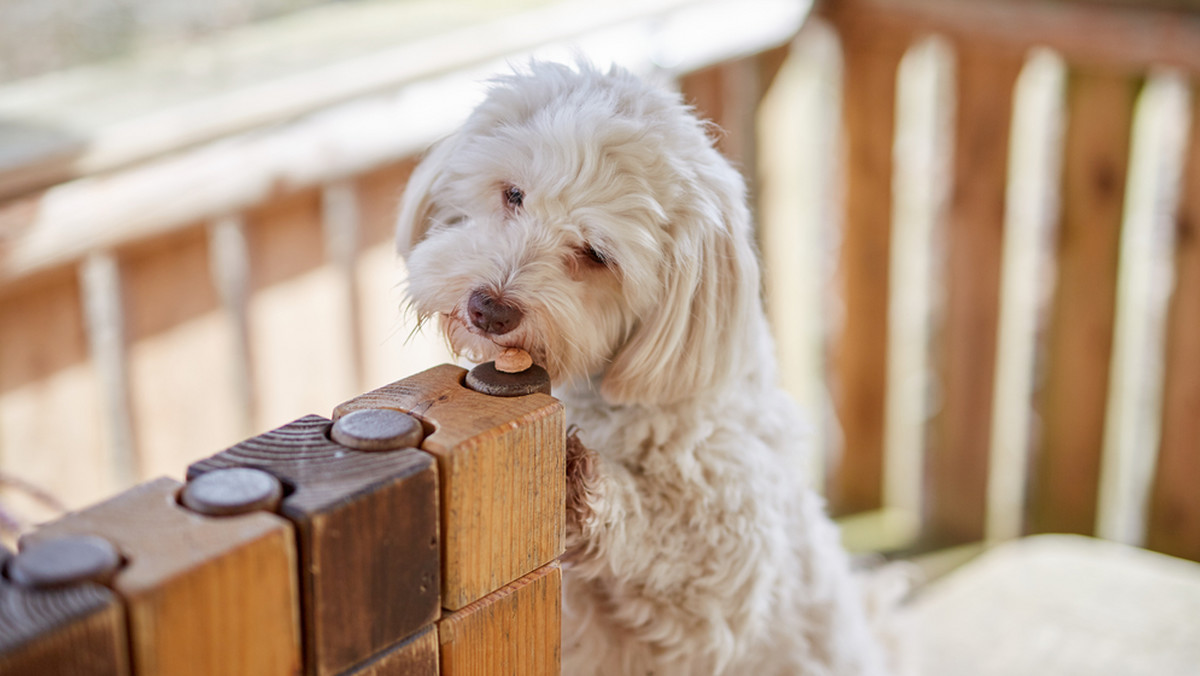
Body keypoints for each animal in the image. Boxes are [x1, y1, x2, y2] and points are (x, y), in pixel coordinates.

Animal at [398, 60, 897, 672]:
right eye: (513, 194)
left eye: (596, 255)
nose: (489, 309)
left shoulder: (728, 569)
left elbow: (668, 545)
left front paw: (581, 485)